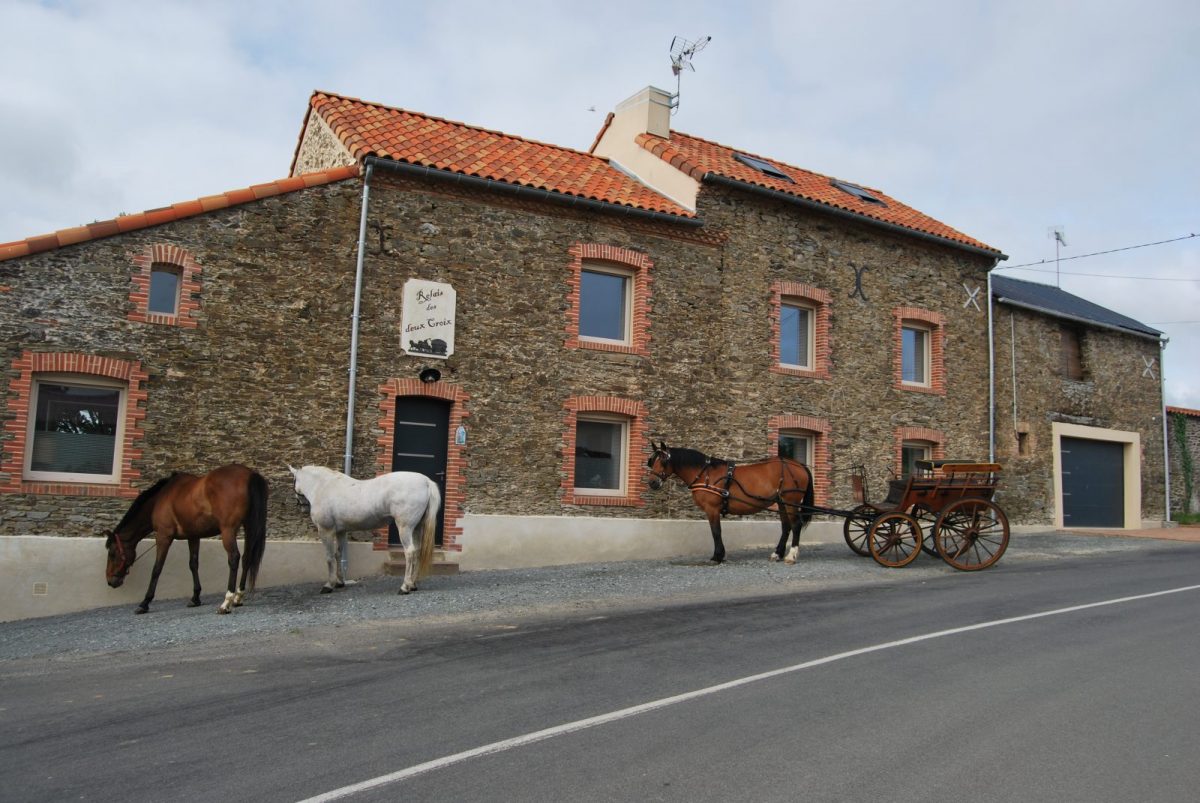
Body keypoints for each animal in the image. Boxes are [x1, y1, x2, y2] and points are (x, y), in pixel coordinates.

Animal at [105, 464, 269, 614]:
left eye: (112, 554)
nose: (110, 581)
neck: (161, 498)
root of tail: (250, 474)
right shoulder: (193, 536)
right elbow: (193, 564)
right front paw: (195, 598)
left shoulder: (163, 536)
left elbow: (157, 568)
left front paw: (145, 603)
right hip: (248, 526)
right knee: (247, 558)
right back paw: (238, 597)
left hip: (228, 529)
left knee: (234, 557)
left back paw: (226, 602)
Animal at [288, 465, 441, 595]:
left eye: (293, 480)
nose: (301, 505)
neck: (324, 487)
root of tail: (426, 481)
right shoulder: (341, 531)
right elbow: (338, 554)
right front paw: (339, 582)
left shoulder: (326, 530)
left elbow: (330, 557)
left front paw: (328, 585)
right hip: (416, 528)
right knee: (417, 551)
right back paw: (413, 584)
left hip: (405, 527)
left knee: (409, 552)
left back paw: (404, 587)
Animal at [646, 441, 814, 564]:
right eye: (652, 461)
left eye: (663, 460)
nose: (652, 483)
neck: (705, 474)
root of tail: (798, 465)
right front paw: (720, 555)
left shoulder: (712, 509)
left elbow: (716, 532)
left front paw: (717, 556)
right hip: (781, 502)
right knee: (786, 527)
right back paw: (777, 554)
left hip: (790, 501)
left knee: (796, 525)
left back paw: (791, 555)